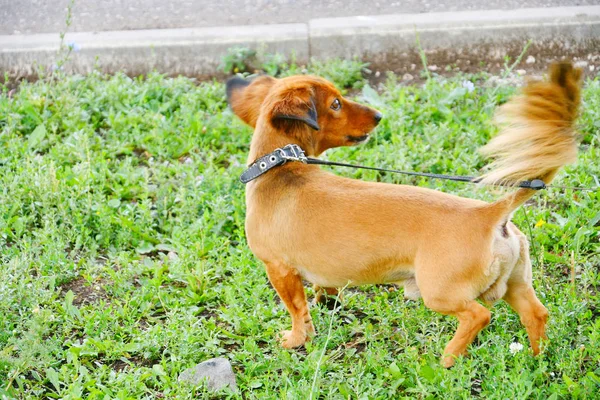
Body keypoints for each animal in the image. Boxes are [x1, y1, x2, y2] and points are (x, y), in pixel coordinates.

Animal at [225, 63, 580, 368]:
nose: (379, 116)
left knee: (478, 316)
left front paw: (296, 339)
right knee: (536, 315)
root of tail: (489, 213)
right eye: (336, 104)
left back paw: (448, 359)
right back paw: (536, 359)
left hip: (439, 292)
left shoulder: (279, 269)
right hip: (516, 285)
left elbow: (297, 311)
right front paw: (327, 304)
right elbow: (323, 291)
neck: (279, 168)